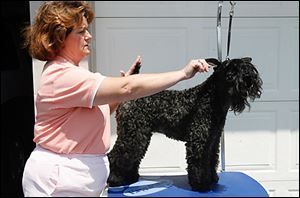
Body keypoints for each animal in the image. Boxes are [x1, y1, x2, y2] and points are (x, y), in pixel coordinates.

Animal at [107, 57, 262, 192]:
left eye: (246, 66)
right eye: (230, 70)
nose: (248, 77)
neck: (211, 98)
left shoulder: (213, 140)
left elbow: (211, 159)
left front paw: (213, 179)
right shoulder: (199, 141)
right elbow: (199, 163)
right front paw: (201, 185)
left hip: (140, 135)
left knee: (133, 156)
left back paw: (131, 177)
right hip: (133, 134)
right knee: (116, 155)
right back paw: (115, 180)